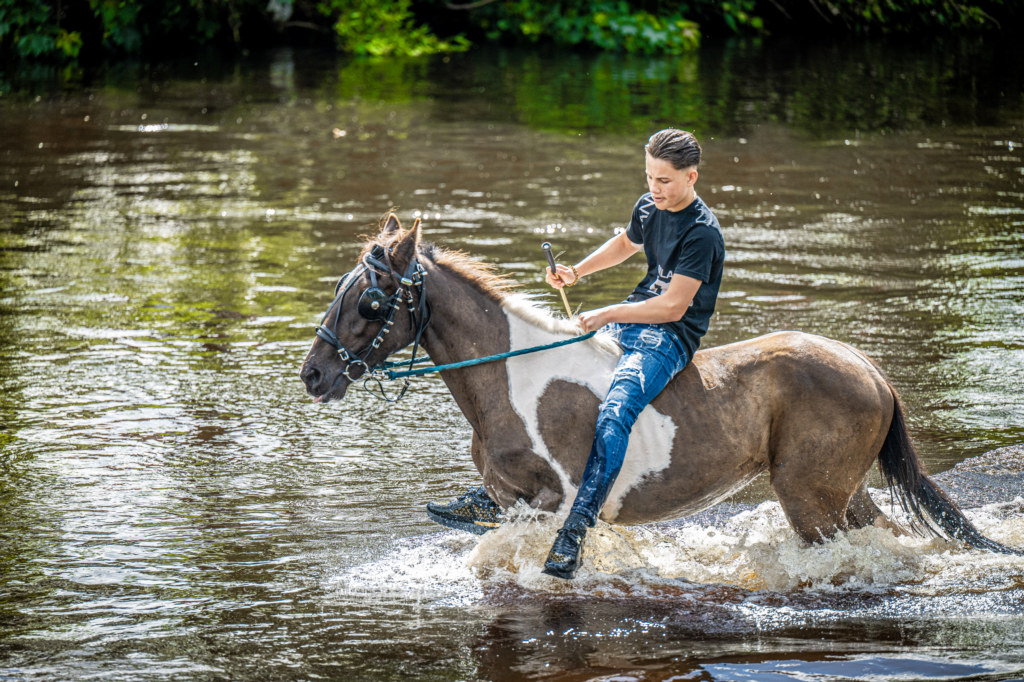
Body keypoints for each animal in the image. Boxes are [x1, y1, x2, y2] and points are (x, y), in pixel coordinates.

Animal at [299, 213, 1019, 556]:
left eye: (369, 301)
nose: (314, 374)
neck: (511, 378)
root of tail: (868, 368)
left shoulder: (558, 502)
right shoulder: (510, 502)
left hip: (811, 498)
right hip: (842, 493)